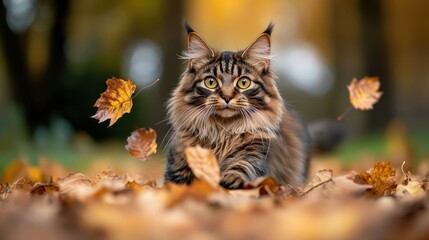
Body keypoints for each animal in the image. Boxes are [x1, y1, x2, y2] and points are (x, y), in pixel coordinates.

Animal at [162, 23, 310, 189]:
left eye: (243, 82)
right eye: (211, 82)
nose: (227, 97)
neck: (222, 132)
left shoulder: (256, 154)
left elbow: (243, 167)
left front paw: (231, 180)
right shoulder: (177, 163)